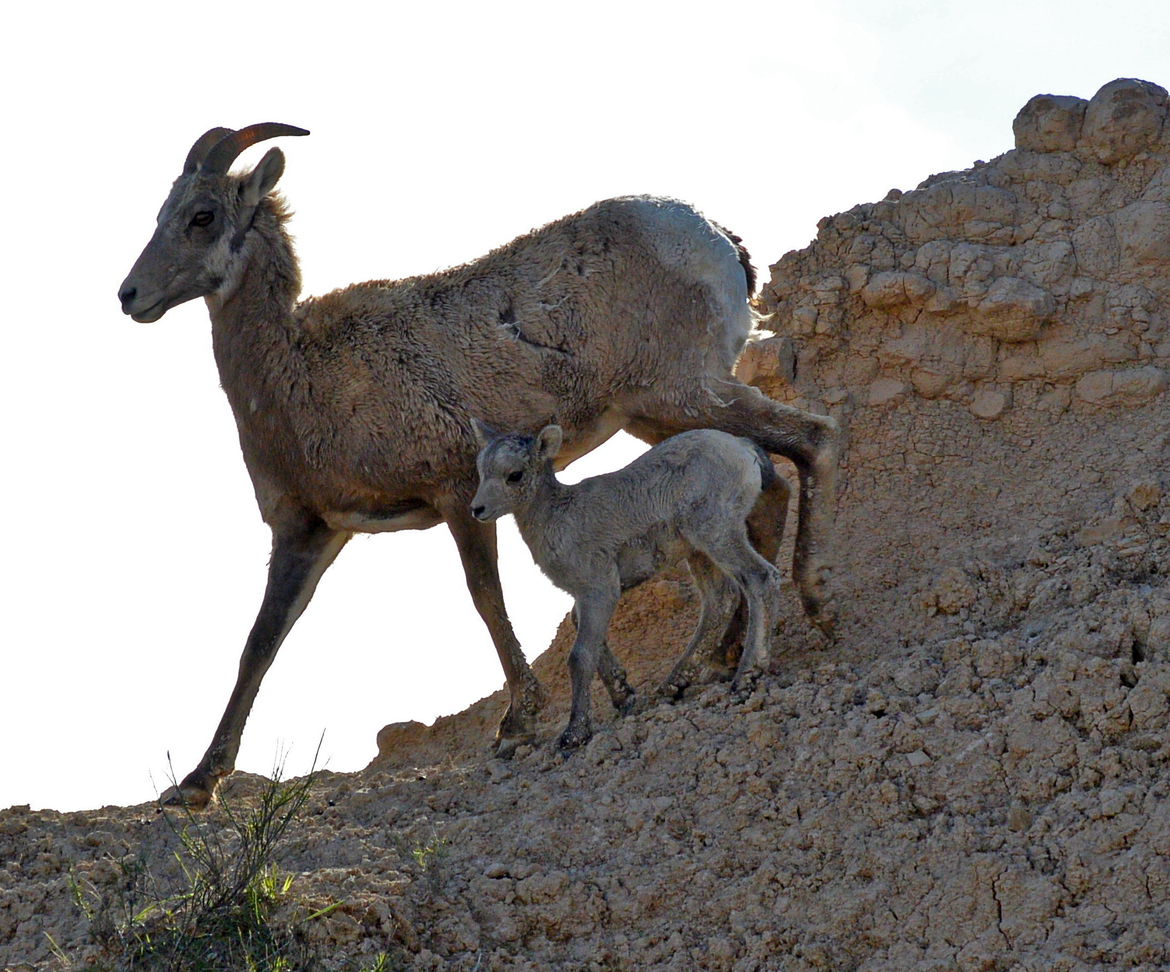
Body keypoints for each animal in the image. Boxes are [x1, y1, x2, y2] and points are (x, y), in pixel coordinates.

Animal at [471, 424, 787, 750]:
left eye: (515, 475)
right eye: (482, 471)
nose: (477, 509)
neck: (558, 519)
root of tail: (742, 448)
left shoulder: (600, 589)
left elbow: (580, 656)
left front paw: (573, 735)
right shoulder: (586, 597)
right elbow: (586, 637)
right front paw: (625, 697)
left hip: (717, 532)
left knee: (760, 579)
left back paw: (745, 678)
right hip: (697, 549)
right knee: (719, 601)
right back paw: (673, 685)